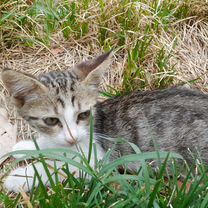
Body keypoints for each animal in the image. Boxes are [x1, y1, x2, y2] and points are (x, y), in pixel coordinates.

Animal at [1, 50, 208, 193]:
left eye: (83, 114)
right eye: (51, 120)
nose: (72, 138)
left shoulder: (97, 163)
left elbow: (61, 167)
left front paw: (21, 176)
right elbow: (52, 145)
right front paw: (26, 147)